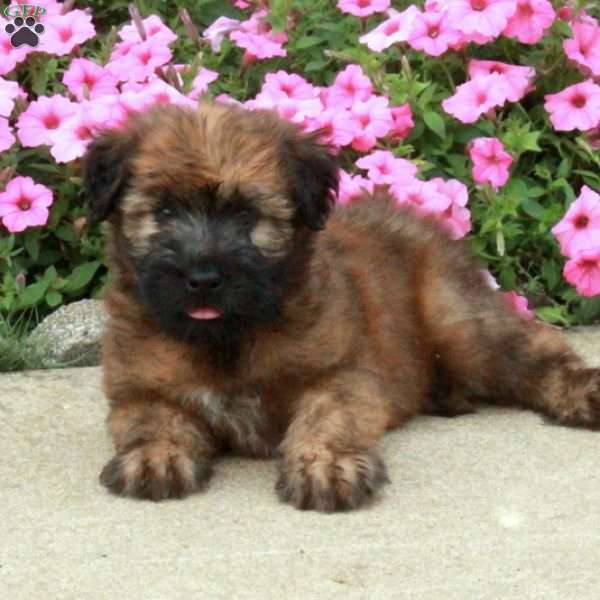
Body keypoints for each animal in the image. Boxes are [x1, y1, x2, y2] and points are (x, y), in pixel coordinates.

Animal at [84, 102, 600, 510]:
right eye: (165, 212)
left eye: (246, 215)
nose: (203, 278)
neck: (226, 338)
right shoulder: (139, 389)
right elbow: (154, 419)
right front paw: (155, 456)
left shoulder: (340, 371)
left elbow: (329, 415)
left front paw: (327, 466)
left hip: (458, 323)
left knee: (533, 349)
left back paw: (582, 392)